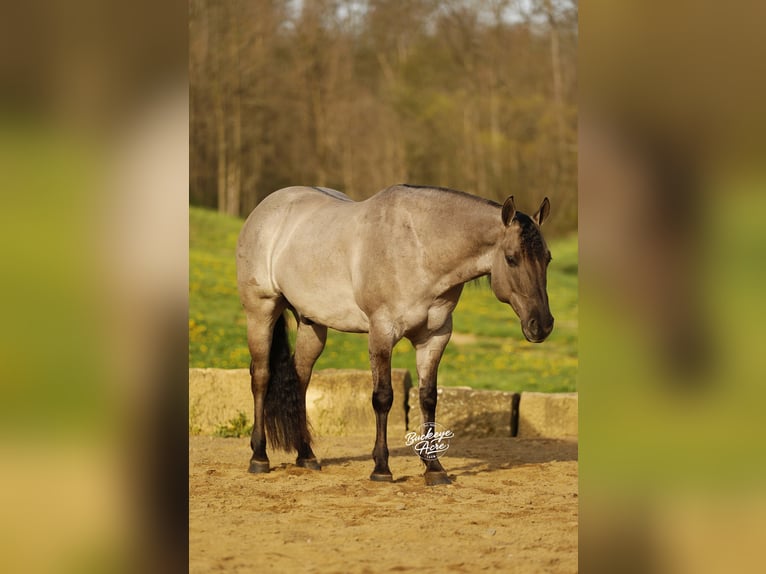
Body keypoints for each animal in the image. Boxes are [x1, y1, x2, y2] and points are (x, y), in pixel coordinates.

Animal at [236, 184, 554, 485]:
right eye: (511, 258)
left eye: (547, 258)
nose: (542, 324)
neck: (418, 248)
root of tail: (266, 209)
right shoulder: (381, 333)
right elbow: (383, 397)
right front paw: (381, 468)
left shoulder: (435, 337)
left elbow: (428, 398)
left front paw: (434, 468)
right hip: (261, 312)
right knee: (261, 376)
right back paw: (259, 456)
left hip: (311, 323)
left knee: (300, 379)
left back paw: (306, 455)